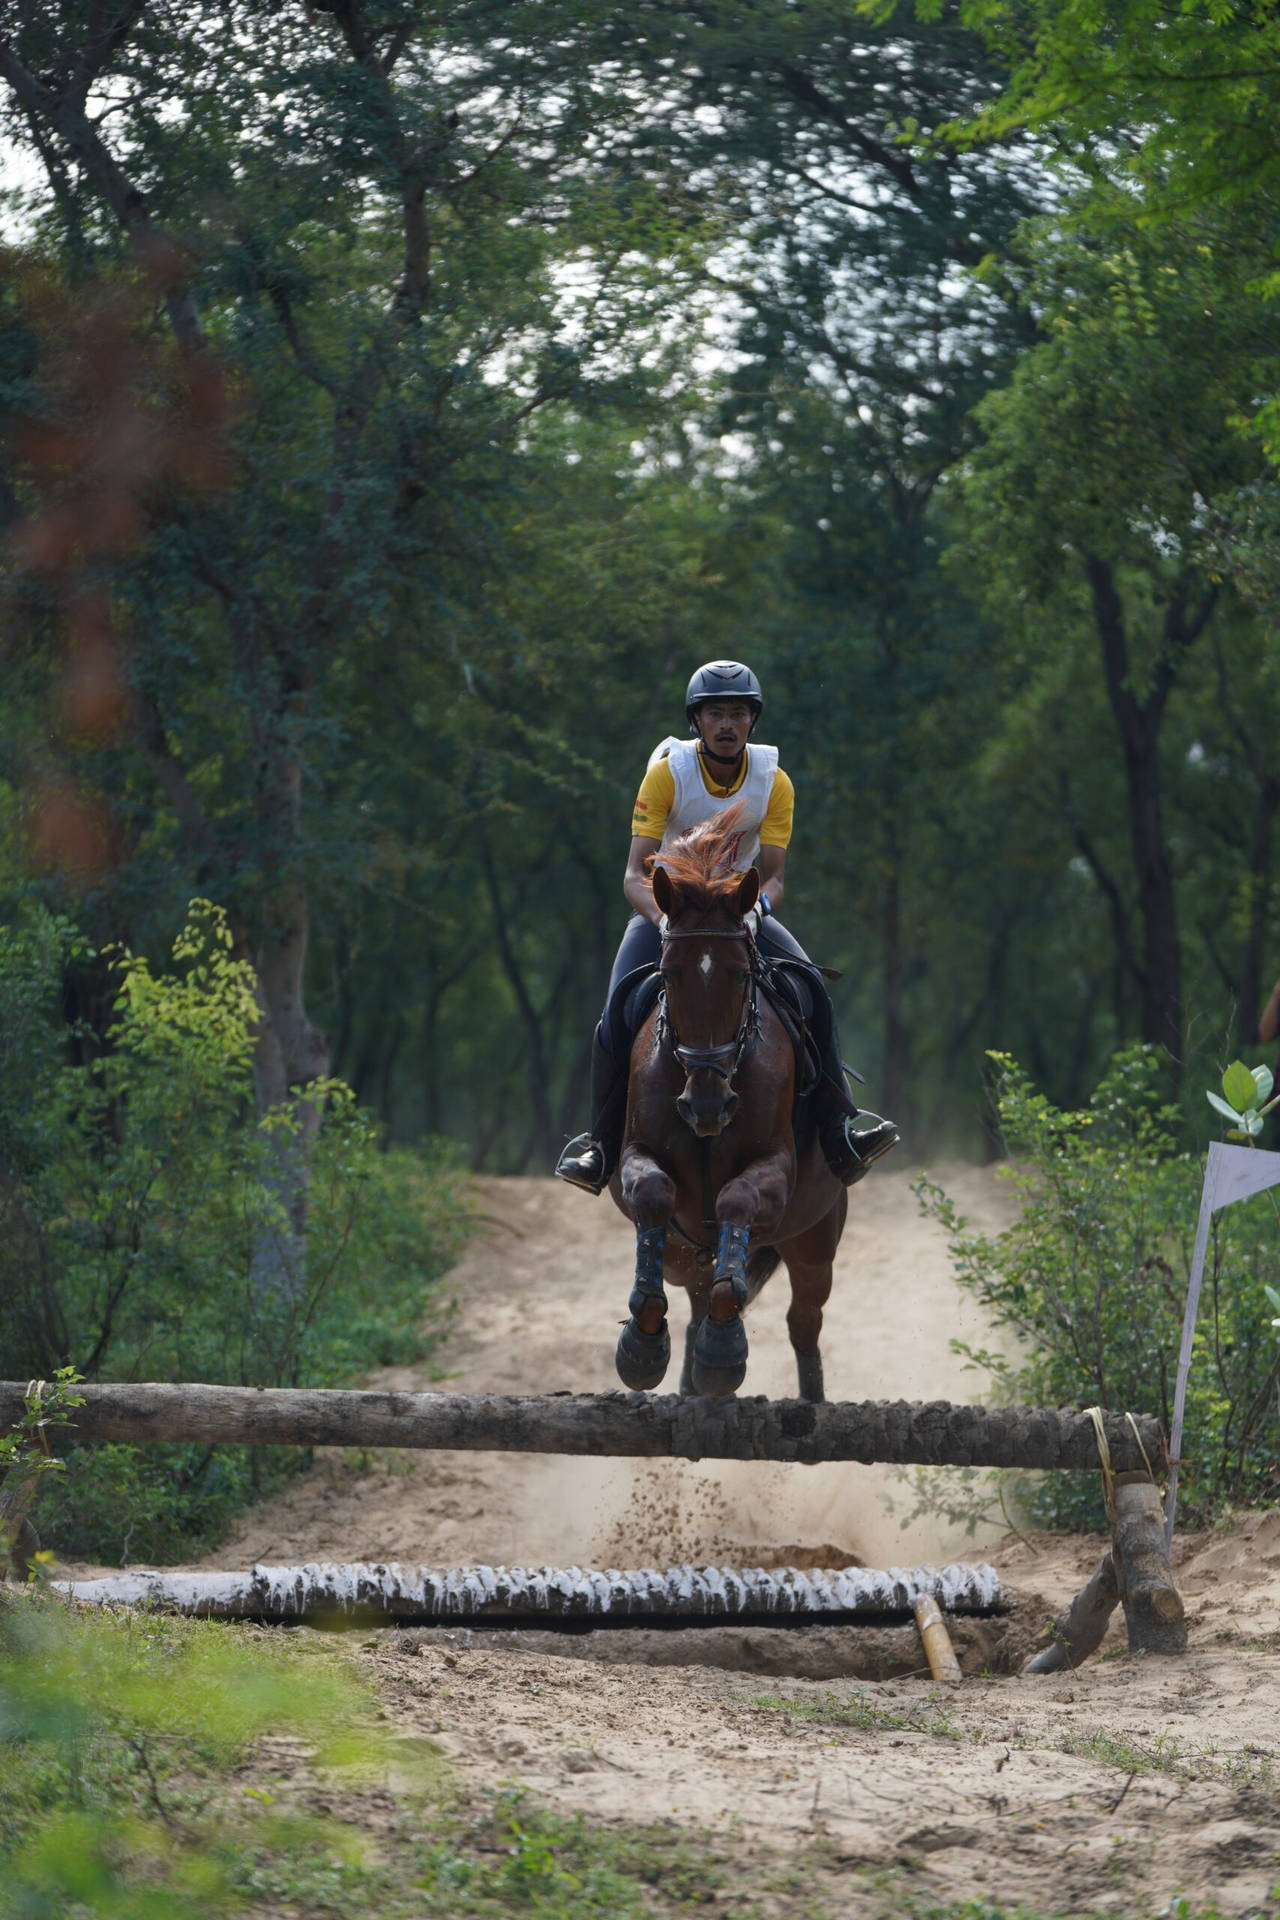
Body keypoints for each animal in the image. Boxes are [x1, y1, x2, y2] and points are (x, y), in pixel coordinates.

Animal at [614, 806, 852, 1397]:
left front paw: (724, 1352)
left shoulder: (776, 1167)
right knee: (697, 1292)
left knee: (803, 1320)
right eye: (668, 975)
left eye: (742, 975)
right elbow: (651, 1192)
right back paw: (691, 1374)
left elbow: (737, 1202)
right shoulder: (636, 1154)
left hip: (814, 1240)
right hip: (687, 1257)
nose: (707, 1106)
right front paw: (641, 1349)